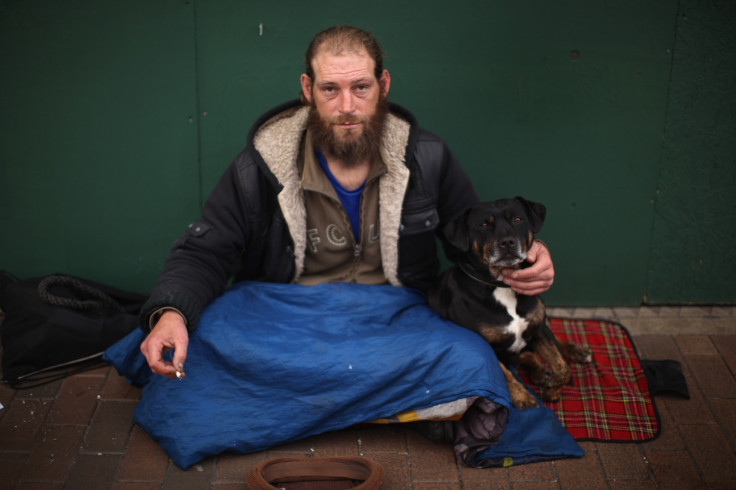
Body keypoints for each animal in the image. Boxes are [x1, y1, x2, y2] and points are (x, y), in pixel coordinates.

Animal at [426, 197, 592, 408]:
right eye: (484, 224)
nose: (507, 243)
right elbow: (504, 375)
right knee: (525, 357)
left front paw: (553, 390)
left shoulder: (538, 329)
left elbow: (563, 367)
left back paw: (575, 351)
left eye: (517, 219)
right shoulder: (488, 346)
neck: (501, 285)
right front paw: (522, 396)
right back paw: (538, 371)